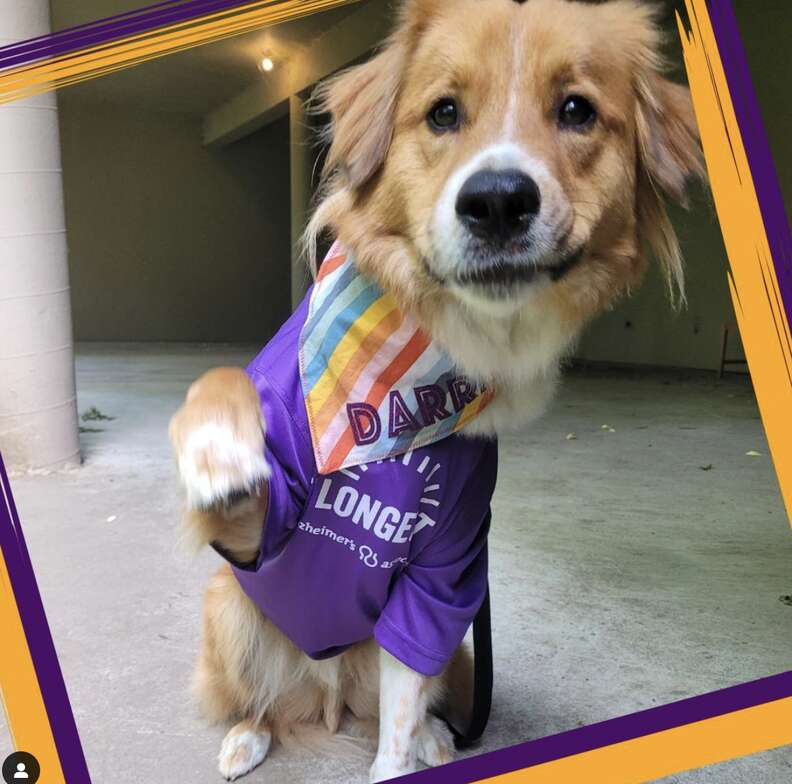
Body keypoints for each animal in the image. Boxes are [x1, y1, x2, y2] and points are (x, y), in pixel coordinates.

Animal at [170, 0, 704, 776]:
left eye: (576, 109)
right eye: (443, 113)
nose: (499, 202)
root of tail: (327, 698)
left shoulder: (445, 574)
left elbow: (399, 706)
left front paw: (400, 757)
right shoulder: (253, 534)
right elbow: (221, 379)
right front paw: (217, 452)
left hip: (443, 644)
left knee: (404, 699)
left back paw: (431, 736)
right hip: (230, 611)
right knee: (260, 702)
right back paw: (248, 735)